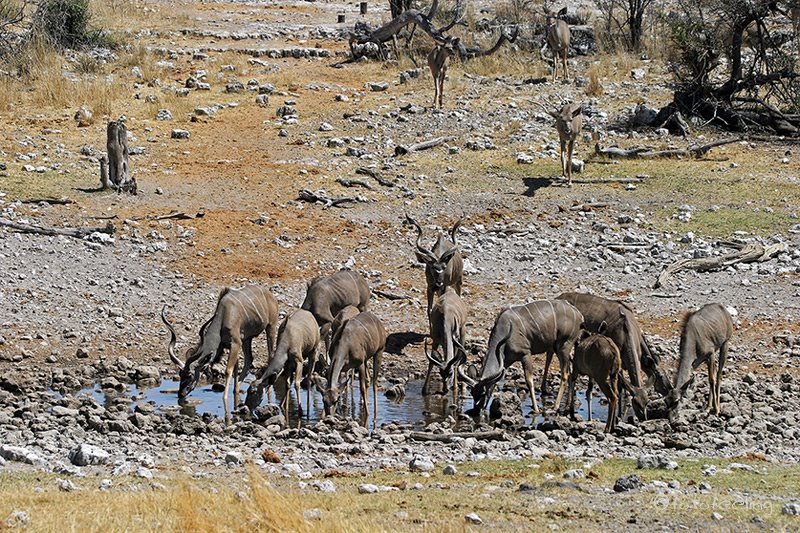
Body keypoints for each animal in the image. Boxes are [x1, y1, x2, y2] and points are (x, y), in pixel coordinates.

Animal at [159, 282, 278, 424]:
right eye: (180, 374)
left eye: (190, 375)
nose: (180, 393)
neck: (223, 316)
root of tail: (270, 294)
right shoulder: (234, 344)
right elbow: (236, 368)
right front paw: (235, 392)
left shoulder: (235, 342)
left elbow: (228, 371)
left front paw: (225, 399)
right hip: (247, 339)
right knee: (249, 359)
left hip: (270, 327)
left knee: (270, 355)